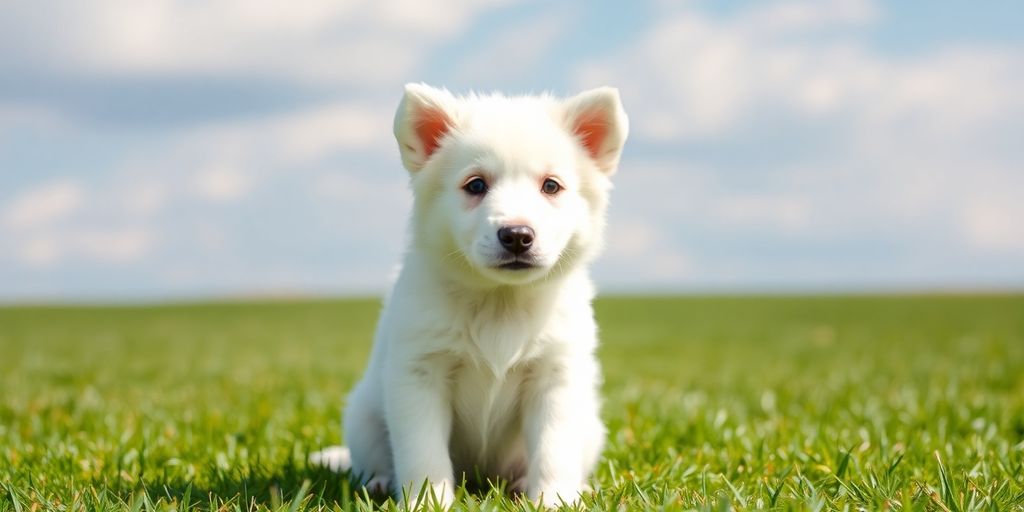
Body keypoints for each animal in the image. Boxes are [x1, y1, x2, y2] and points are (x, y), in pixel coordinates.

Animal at [311, 83, 626, 507]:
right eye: (476, 185)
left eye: (551, 186)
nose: (517, 235)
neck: (500, 302)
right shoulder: (419, 374)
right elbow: (423, 454)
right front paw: (427, 502)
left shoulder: (555, 376)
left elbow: (553, 450)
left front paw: (553, 501)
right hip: (362, 417)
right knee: (372, 459)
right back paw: (378, 481)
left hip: (590, 427)